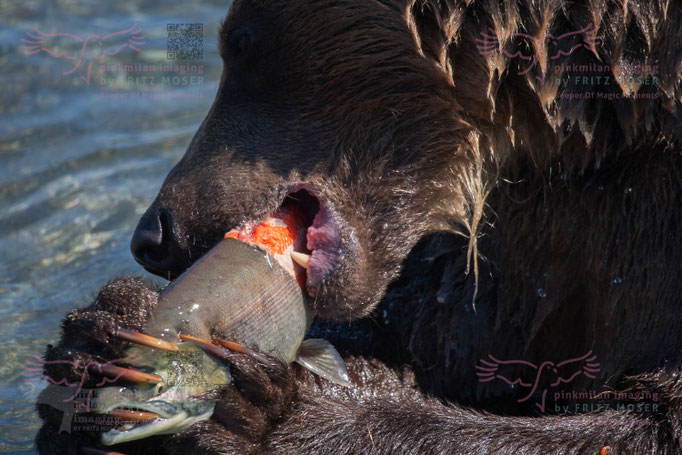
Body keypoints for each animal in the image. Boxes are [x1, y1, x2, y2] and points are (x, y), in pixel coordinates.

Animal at [36, 0, 681, 454]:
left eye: (241, 42)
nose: (153, 233)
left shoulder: (628, 232)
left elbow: (640, 423)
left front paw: (267, 409)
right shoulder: (535, 245)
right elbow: (435, 336)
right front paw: (95, 331)